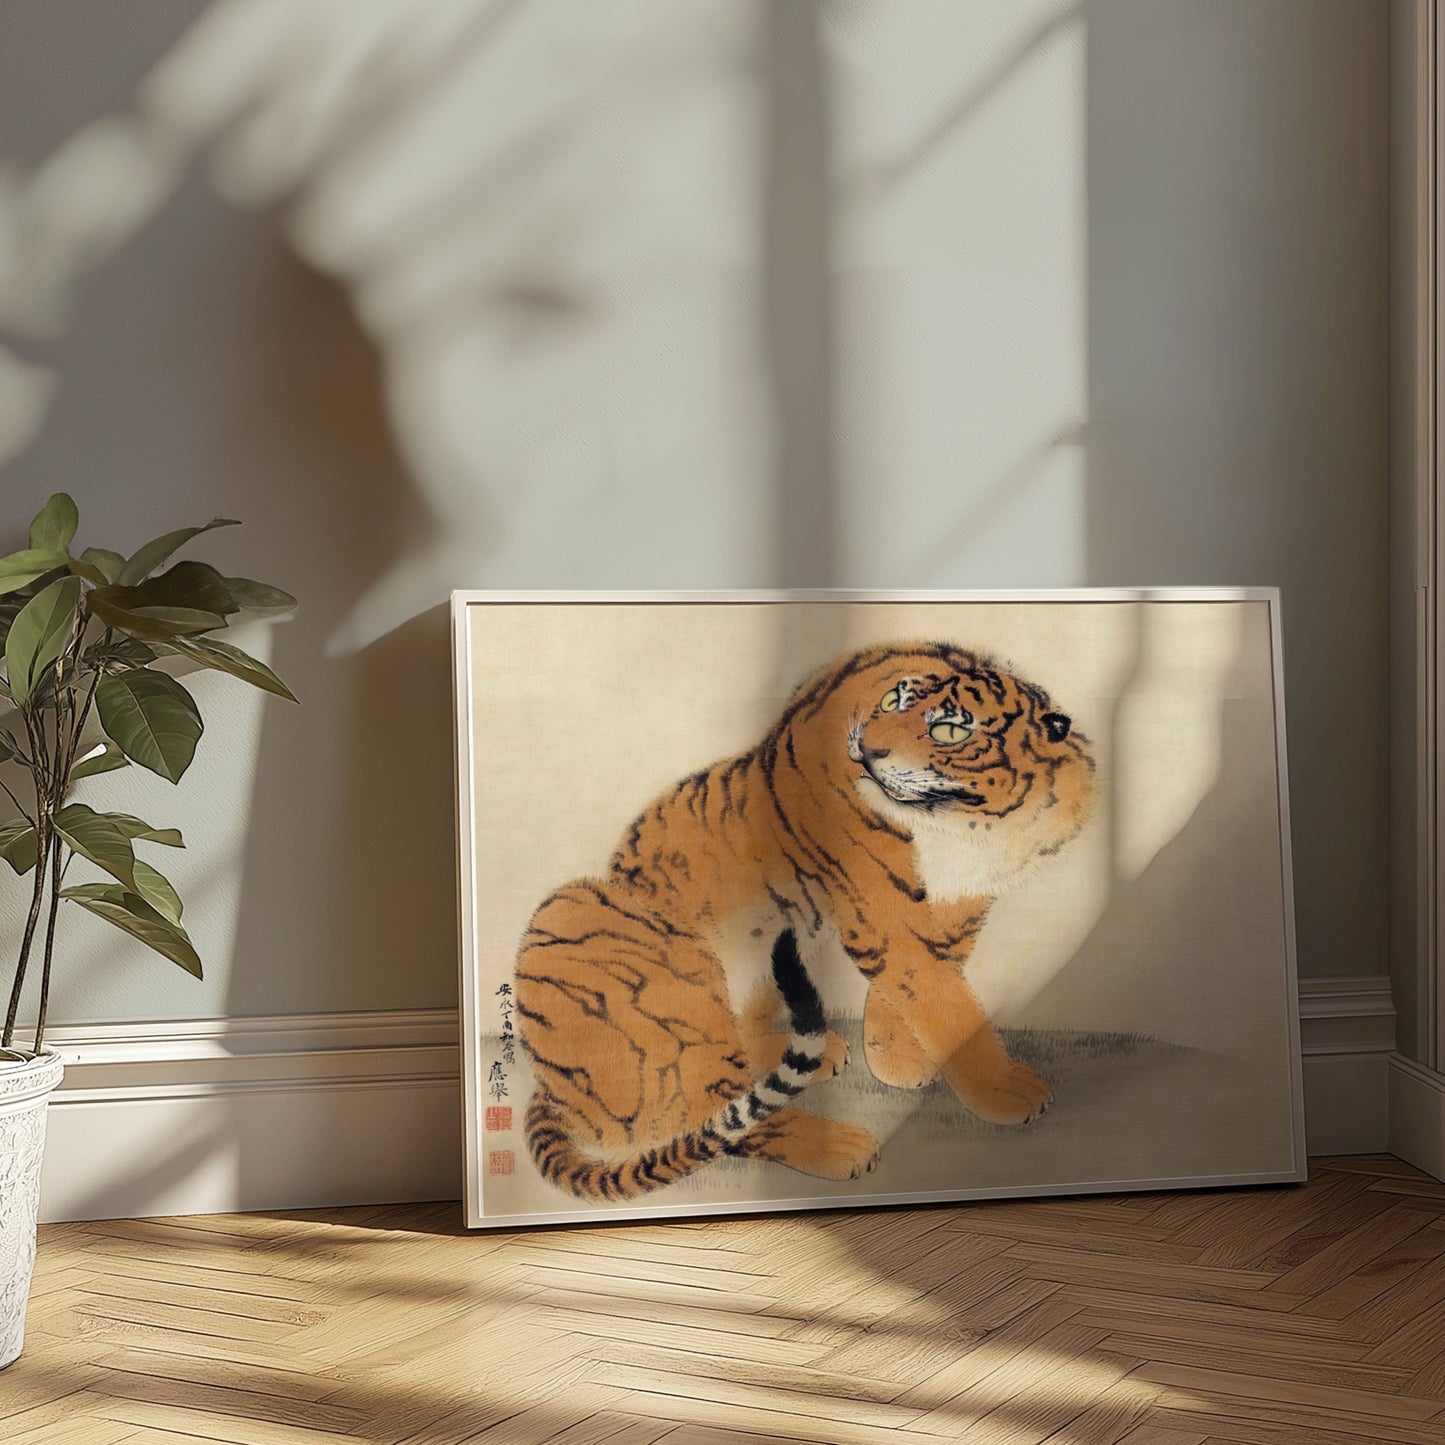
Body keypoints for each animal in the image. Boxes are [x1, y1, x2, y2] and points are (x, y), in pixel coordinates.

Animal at [516, 640, 1095, 1202]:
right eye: (893, 702)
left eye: (949, 730)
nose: (866, 749)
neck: (967, 825)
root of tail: (551, 1089)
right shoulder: (880, 908)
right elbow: (943, 999)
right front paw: (1006, 1090)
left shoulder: (964, 901)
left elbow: (930, 984)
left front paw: (896, 1057)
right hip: (604, 929)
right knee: (714, 1110)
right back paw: (840, 1146)